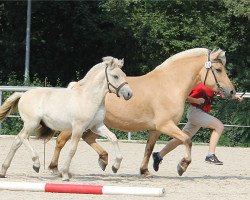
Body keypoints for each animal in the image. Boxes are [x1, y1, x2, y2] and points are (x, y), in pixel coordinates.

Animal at [0, 56, 133, 181]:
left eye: (124, 75)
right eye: (115, 76)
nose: (129, 94)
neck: (89, 98)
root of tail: (23, 95)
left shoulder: (97, 126)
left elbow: (113, 138)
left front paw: (115, 166)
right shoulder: (78, 128)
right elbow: (72, 149)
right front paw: (64, 174)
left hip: (30, 125)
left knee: (17, 141)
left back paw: (4, 171)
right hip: (32, 123)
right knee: (22, 137)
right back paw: (36, 164)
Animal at [48, 48, 234, 177]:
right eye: (219, 70)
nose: (232, 91)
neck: (170, 84)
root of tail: (77, 85)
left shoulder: (156, 129)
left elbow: (149, 148)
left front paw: (145, 170)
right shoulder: (166, 125)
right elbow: (187, 141)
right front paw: (182, 166)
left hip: (96, 124)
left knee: (87, 138)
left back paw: (105, 159)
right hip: (77, 125)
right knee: (60, 141)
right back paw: (54, 168)